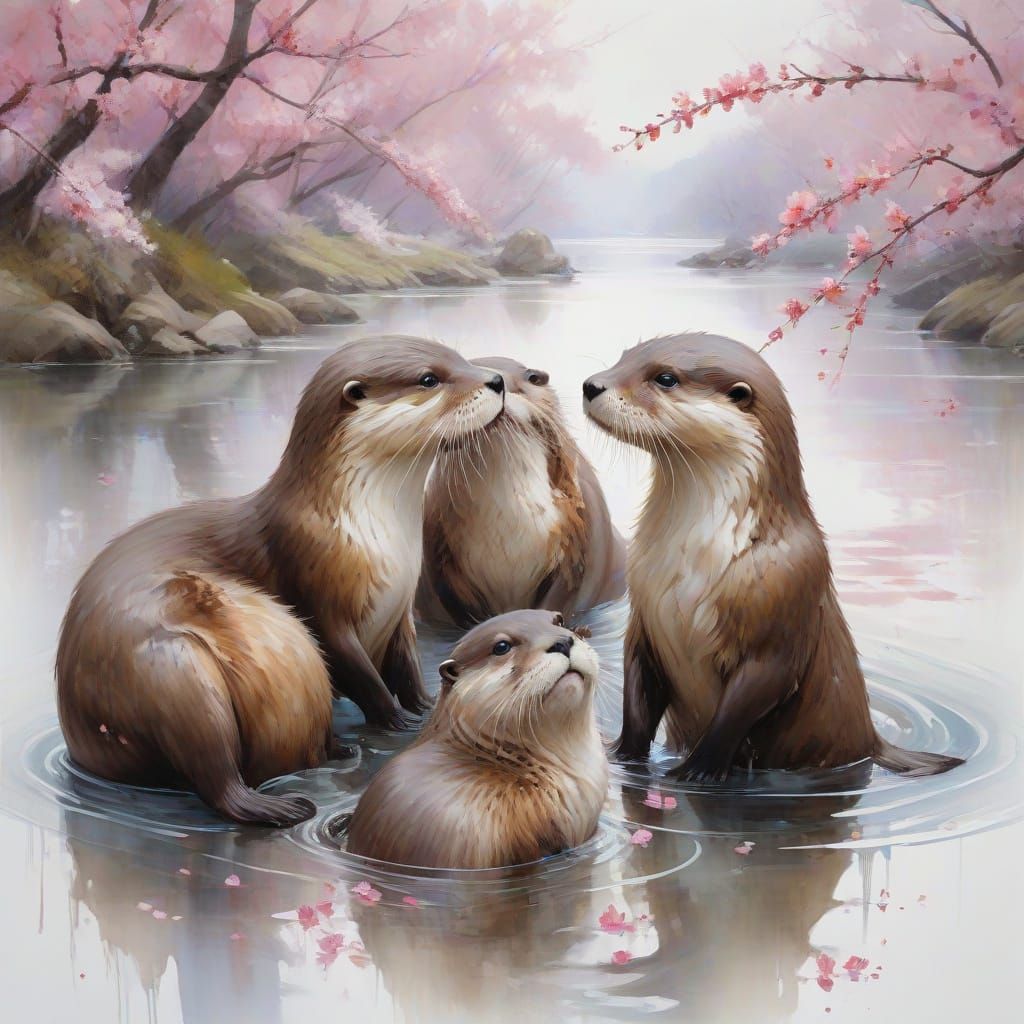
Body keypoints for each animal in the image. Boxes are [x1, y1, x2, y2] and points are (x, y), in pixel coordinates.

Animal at [57, 336, 507, 826]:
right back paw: (282, 803)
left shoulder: (399, 609)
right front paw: (401, 721)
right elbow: (358, 672)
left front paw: (424, 706)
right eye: (429, 378)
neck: (370, 531)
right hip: (170, 672)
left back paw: (338, 752)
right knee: (213, 772)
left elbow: (406, 667)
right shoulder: (316, 593)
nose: (497, 380)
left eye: (458, 357)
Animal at [582, 333, 963, 780]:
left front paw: (695, 772)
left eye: (665, 378)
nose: (591, 385)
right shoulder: (645, 616)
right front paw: (622, 755)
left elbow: (740, 709)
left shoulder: (784, 606)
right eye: (624, 357)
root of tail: (872, 742)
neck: (691, 562)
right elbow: (638, 696)